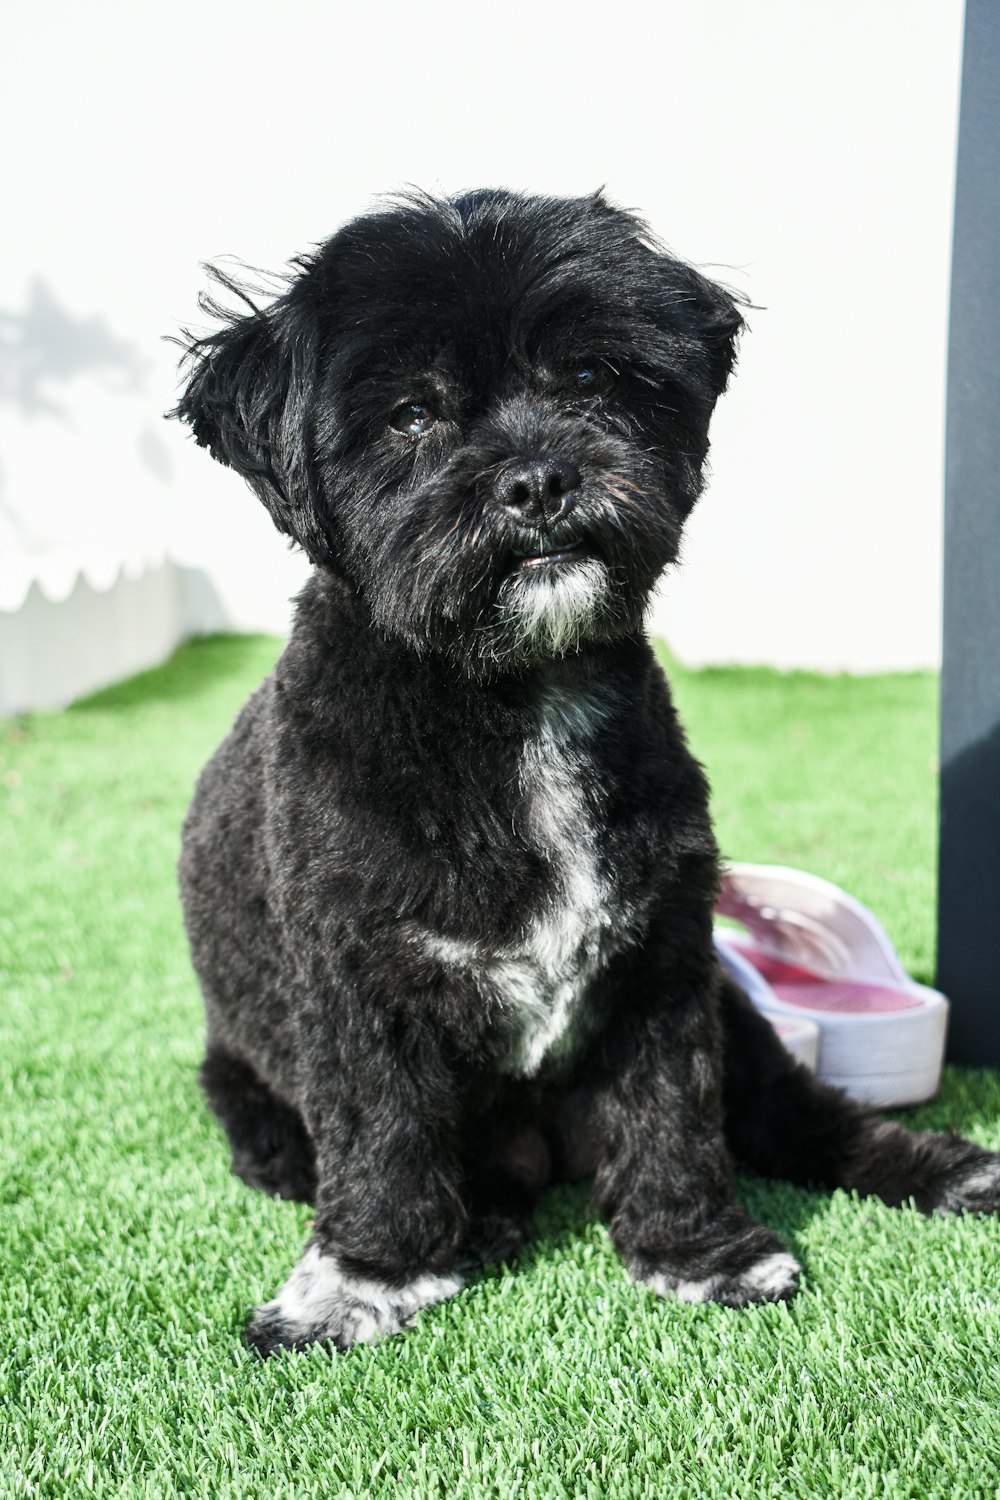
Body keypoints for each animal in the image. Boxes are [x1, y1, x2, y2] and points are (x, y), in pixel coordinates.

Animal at [173, 190, 1000, 1362]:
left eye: (590, 375)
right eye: (410, 415)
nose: (537, 479)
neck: (516, 698)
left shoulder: (663, 966)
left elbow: (673, 1118)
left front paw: (698, 1251)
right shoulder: (357, 987)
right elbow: (382, 1140)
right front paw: (366, 1279)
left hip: (739, 1017)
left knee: (801, 1115)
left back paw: (941, 1166)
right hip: (253, 1102)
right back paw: (477, 1224)